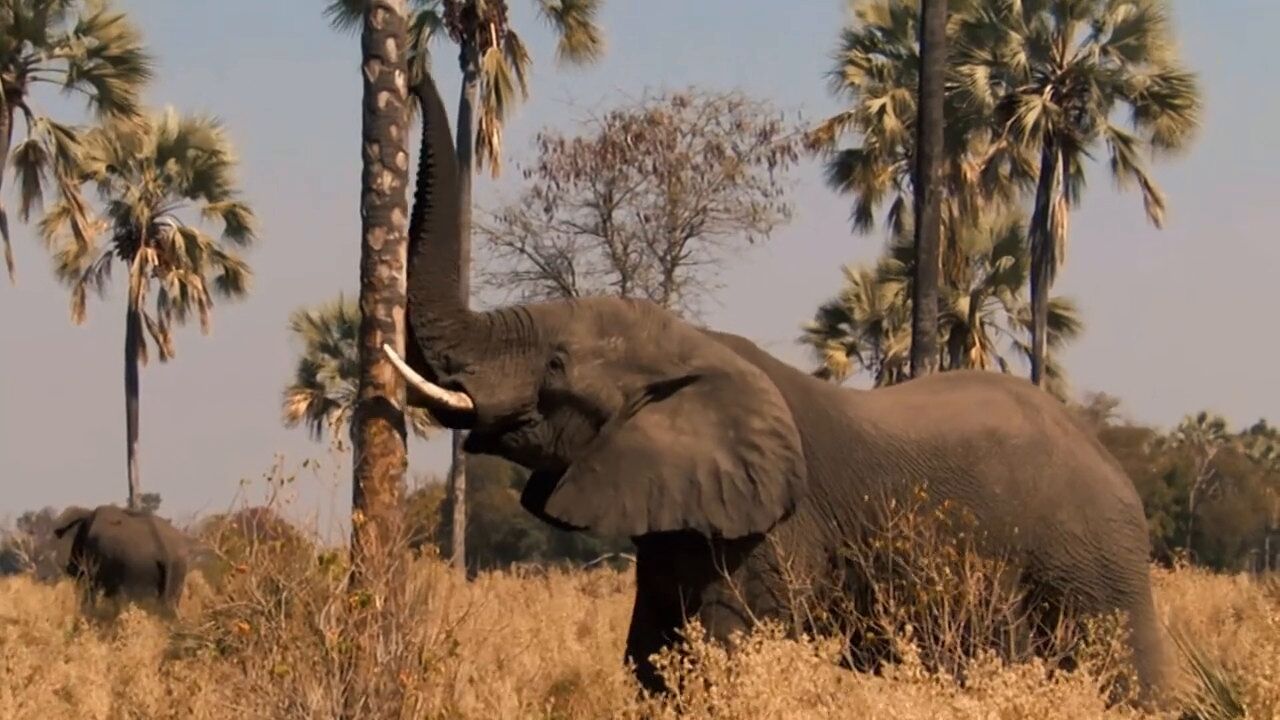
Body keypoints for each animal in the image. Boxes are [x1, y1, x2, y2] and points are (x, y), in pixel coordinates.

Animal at [384, 74, 1167, 702]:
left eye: (555, 366)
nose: (417, 62)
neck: (698, 347)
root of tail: (1117, 472)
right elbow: (652, 653)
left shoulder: (777, 528)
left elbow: (724, 653)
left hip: (1092, 565)